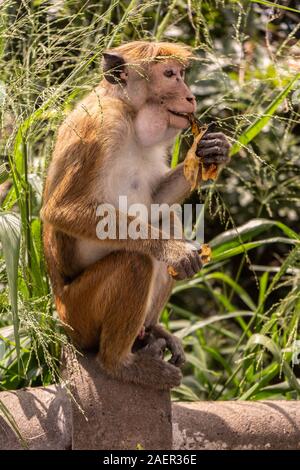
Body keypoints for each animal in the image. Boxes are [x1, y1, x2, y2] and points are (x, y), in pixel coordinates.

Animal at [41, 41, 230, 390]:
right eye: (169, 75)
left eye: (181, 73)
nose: (190, 97)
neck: (130, 113)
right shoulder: (101, 129)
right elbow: (61, 210)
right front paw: (175, 250)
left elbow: (156, 201)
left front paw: (212, 150)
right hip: (78, 315)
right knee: (135, 261)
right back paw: (121, 364)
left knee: (165, 219)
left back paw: (154, 331)